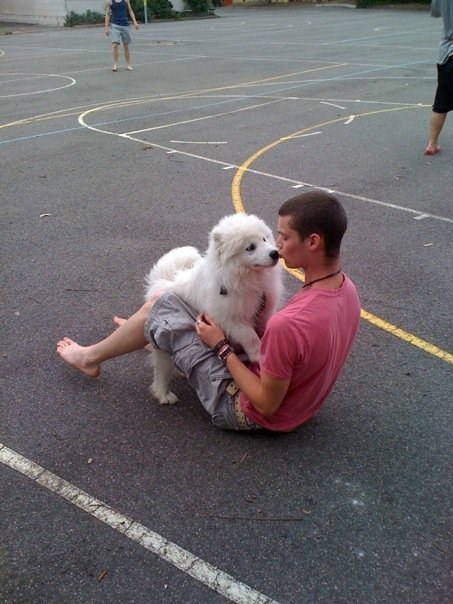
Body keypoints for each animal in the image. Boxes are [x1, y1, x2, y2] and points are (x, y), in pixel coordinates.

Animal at [143, 212, 280, 406]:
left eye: (264, 239)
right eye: (250, 248)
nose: (275, 253)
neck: (245, 279)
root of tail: (162, 282)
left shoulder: (264, 311)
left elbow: (264, 328)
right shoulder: (230, 319)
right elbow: (250, 336)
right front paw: (257, 355)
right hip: (161, 343)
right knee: (161, 369)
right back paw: (164, 395)